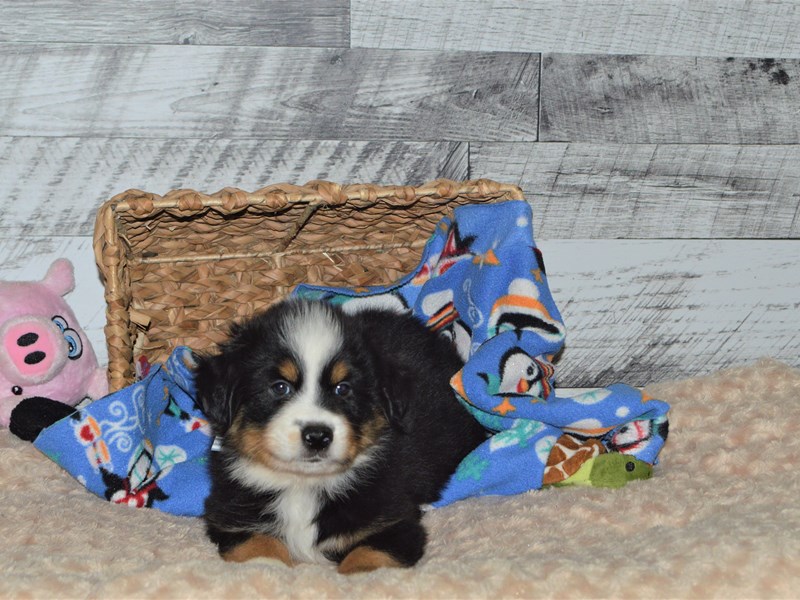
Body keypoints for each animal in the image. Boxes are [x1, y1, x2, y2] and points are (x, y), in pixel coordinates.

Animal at [192, 298, 488, 576]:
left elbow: (367, 557)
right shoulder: (229, 512)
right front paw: (266, 569)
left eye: (343, 389)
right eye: (280, 387)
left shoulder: (394, 522)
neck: (303, 486)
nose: (317, 436)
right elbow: (257, 543)